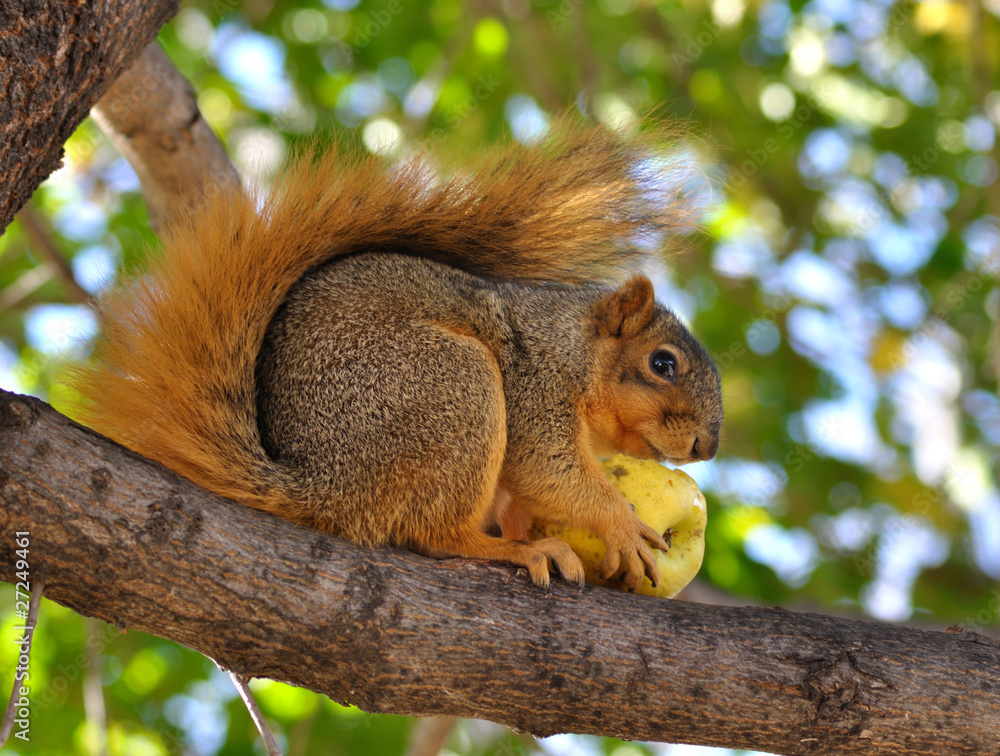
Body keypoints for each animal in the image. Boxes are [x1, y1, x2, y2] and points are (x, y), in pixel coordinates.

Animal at [72, 124, 728, 592]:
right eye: (662, 364)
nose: (706, 447)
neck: (573, 348)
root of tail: (322, 486)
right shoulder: (534, 382)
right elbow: (546, 465)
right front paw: (621, 524)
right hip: (451, 387)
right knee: (431, 534)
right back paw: (511, 550)